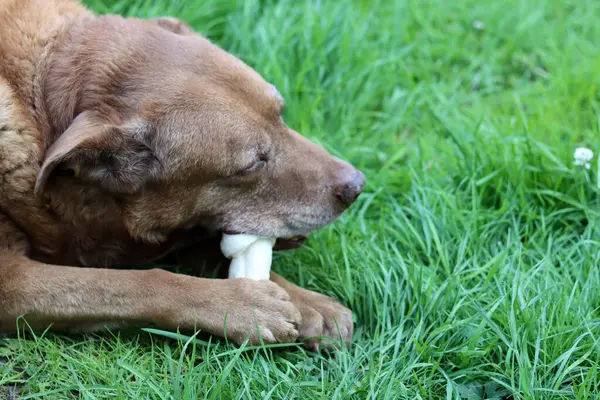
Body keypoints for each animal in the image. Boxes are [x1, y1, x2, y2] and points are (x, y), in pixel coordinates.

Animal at [0, 0, 366, 350]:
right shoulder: (11, 280)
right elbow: (129, 281)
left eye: (281, 114)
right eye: (252, 165)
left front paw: (308, 301)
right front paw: (242, 305)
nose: (357, 186)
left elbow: (208, 246)